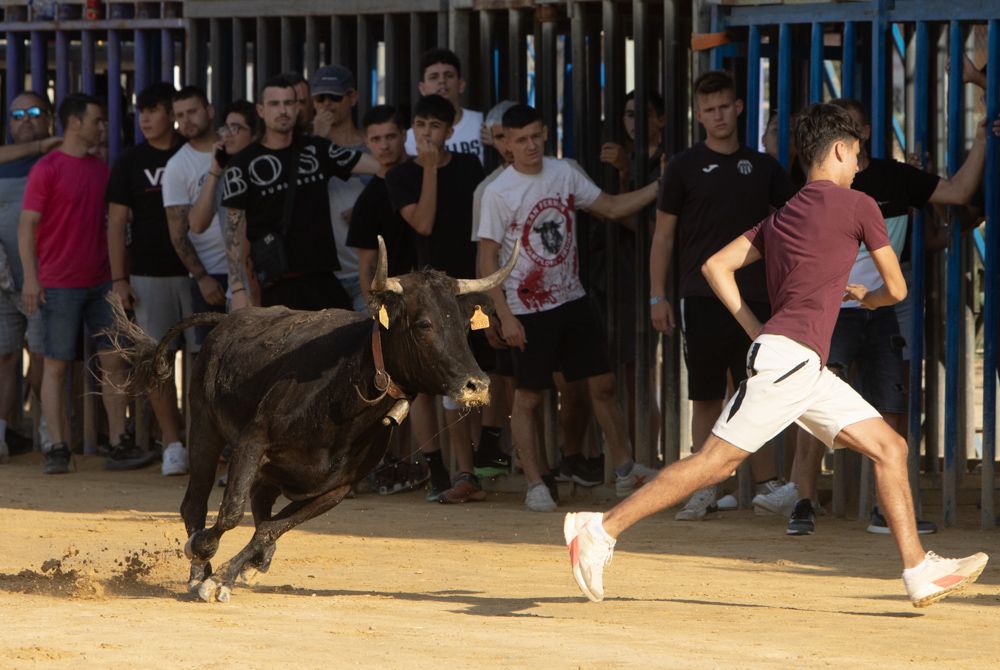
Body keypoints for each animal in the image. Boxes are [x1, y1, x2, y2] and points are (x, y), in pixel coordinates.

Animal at [113, 238, 520, 604]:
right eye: (424, 324)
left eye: (466, 326)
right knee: (195, 504)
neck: (347, 391)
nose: (477, 385)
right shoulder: (252, 442)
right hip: (205, 429)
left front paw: (230, 576)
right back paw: (198, 569)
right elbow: (231, 513)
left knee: (260, 505)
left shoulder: (336, 488)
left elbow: (272, 528)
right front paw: (205, 563)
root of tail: (227, 320)